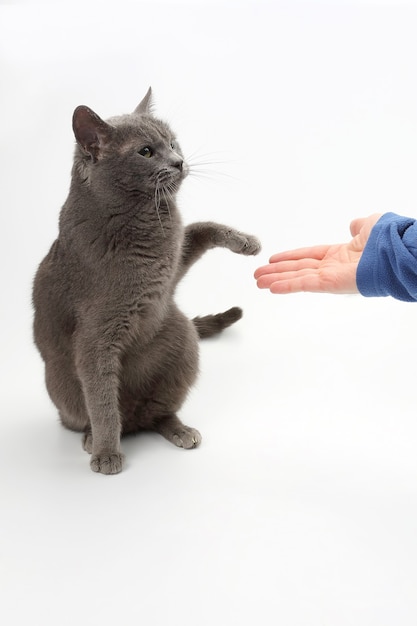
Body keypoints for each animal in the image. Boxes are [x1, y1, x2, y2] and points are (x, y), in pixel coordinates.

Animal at [33, 89, 260, 472]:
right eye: (145, 152)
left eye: (172, 142)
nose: (179, 161)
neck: (146, 218)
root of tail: (135, 422)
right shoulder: (96, 337)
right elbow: (102, 401)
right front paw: (107, 454)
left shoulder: (172, 265)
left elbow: (200, 228)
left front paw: (245, 241)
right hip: (63, 385)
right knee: (93, 413)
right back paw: (94, 439)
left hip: (181, 337)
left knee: (157, 412)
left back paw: (179, 430)